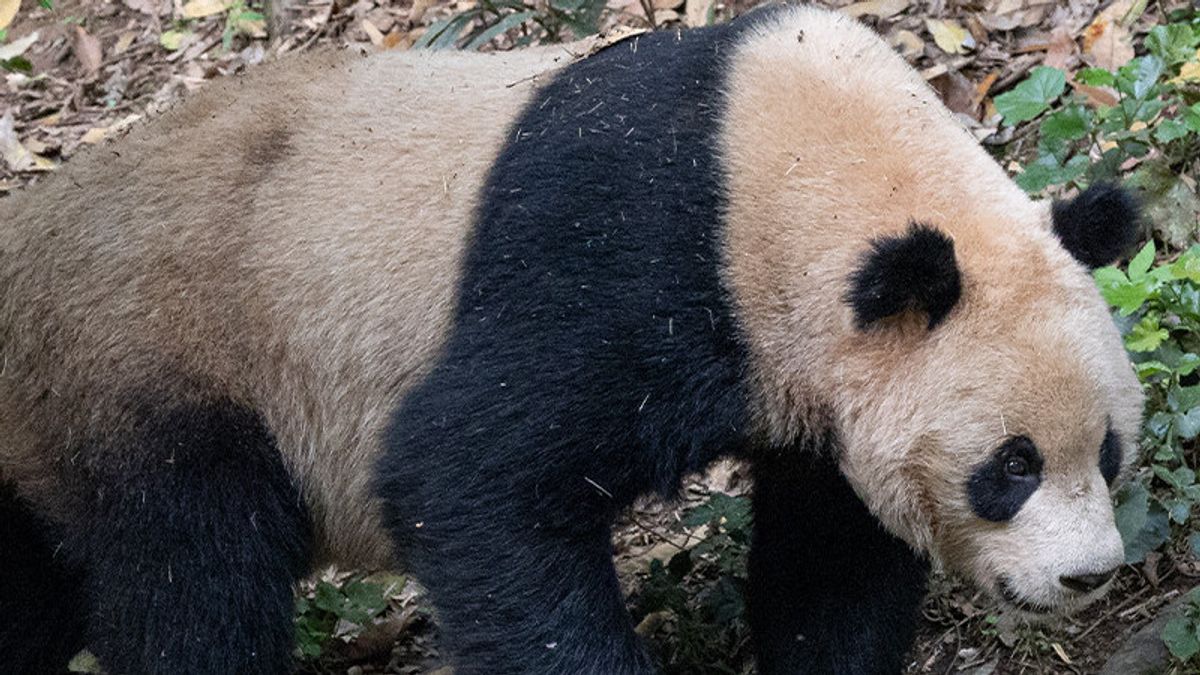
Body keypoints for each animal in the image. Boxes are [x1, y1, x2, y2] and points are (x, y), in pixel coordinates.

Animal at [0, 5, 1142, 672]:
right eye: (1011, 465)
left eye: (1110, 452)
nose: (1088, 577)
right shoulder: (626, 259)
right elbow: (470, 478)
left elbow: (834, 552)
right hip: (155, 363)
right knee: (192, 576)